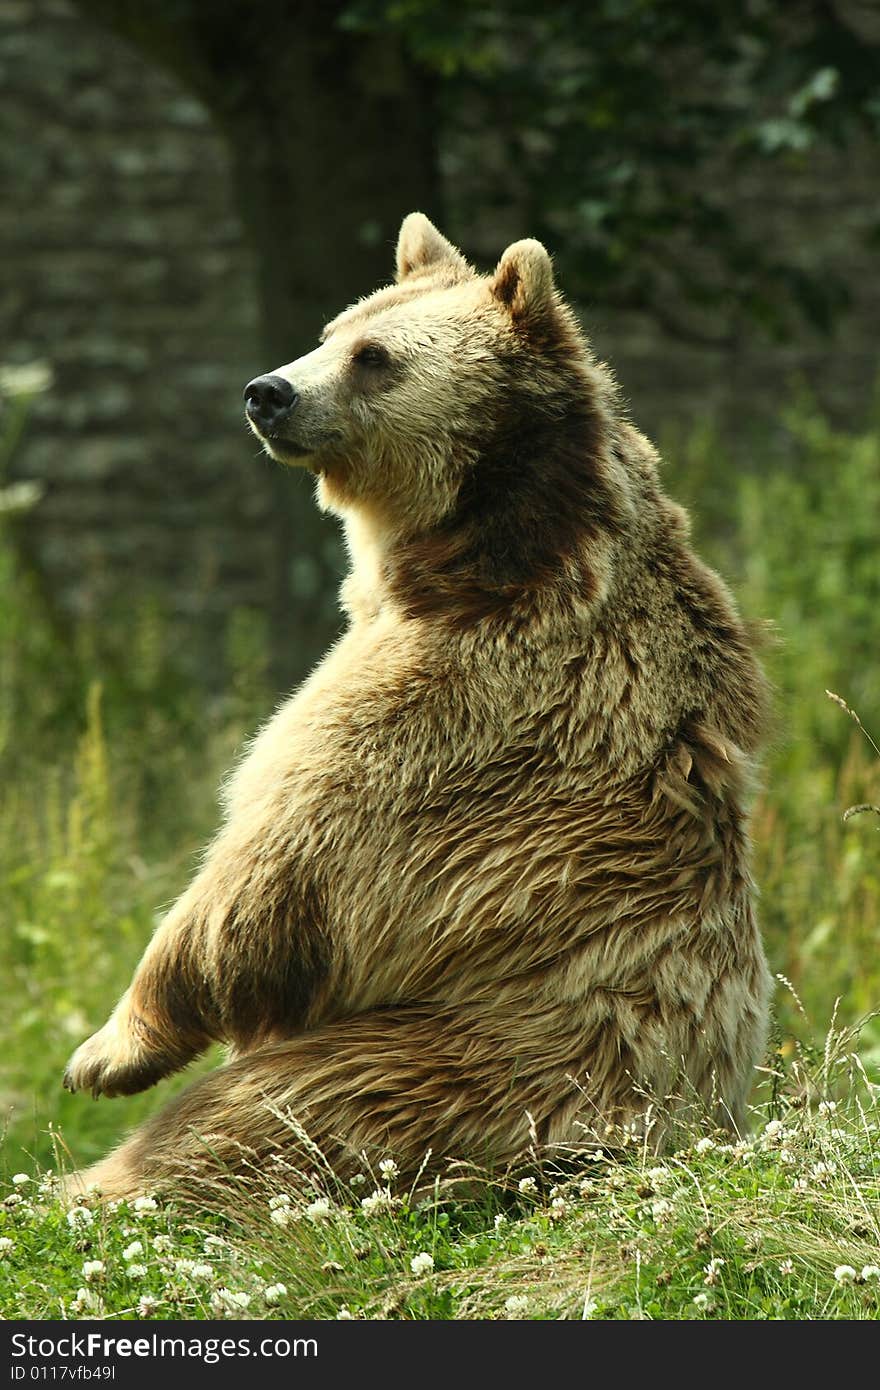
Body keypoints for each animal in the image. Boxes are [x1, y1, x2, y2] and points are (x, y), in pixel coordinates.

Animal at [63, 211, 767, 1200]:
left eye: (373, 357)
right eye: (332, 330)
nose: (267, 393)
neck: (481, 552)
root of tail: (685, 1131)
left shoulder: (448, 711)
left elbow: (268, 873)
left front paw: (104, 1052)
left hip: (457, 1067)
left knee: (236, 1126)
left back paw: (102, 1183)